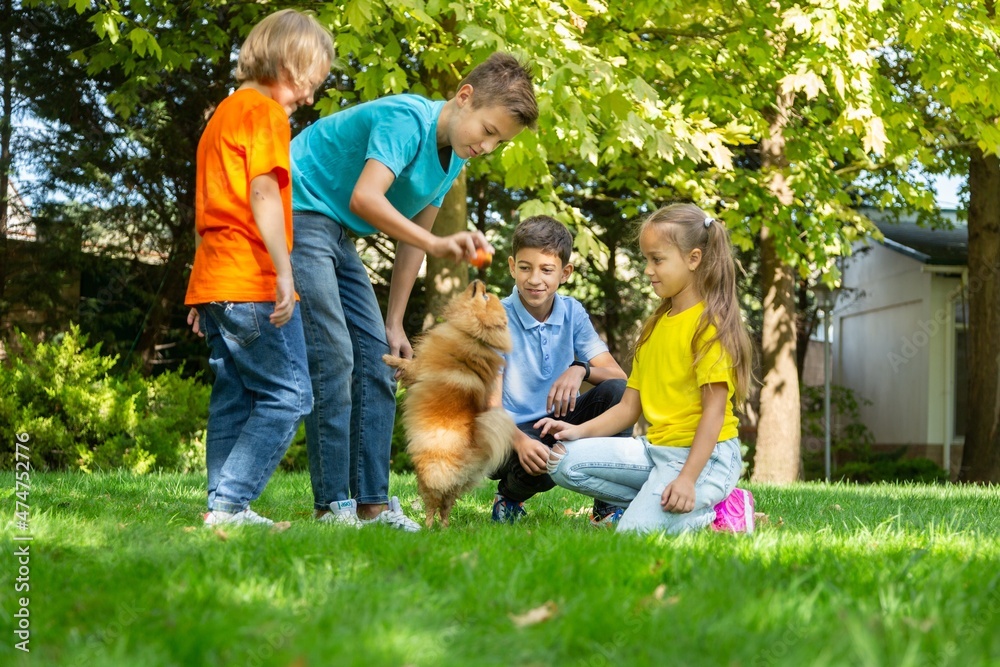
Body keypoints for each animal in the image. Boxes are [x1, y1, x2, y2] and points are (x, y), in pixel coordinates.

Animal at [382, 280, 516, 528]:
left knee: (432, 505)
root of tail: (475, 448)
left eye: (484, 297)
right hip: (452, 487)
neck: (472, 335)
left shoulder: (419, 368)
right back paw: (444, 530)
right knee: (446, 508)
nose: (479, 282)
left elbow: (407, 365)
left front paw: (389, 358)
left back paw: (426, 527)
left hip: (427, 474)